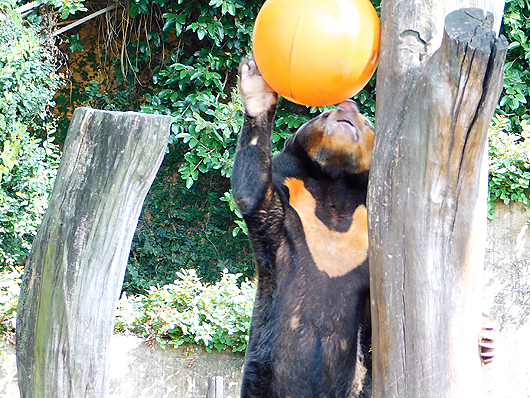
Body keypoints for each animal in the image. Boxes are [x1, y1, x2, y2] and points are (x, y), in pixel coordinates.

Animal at [229, 56, 492, 398]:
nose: (348, 106)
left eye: (366, 122)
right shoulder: (285, 221)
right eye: (325, 114)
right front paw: (256, 85)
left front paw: (486, 333)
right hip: (262, 373)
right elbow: (253, 194)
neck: (334, 187)